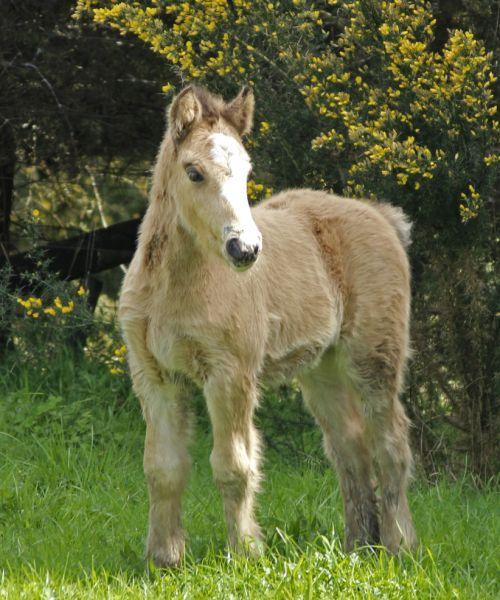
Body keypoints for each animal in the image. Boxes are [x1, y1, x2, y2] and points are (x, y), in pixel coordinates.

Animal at [119, 84, 416, 568]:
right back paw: (358, 546)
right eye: (194, 172)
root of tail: (380, 216)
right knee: (349, 446)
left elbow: (233, 466)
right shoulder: (155, 377)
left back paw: (399, 546)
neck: (174, 289)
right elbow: (163, 468)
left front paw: (245, 554)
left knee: (390, 442)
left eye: (246, 171)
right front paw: (163, 560)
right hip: (321, 368)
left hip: (374, 356)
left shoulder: (230, 374)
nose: (245, 249)